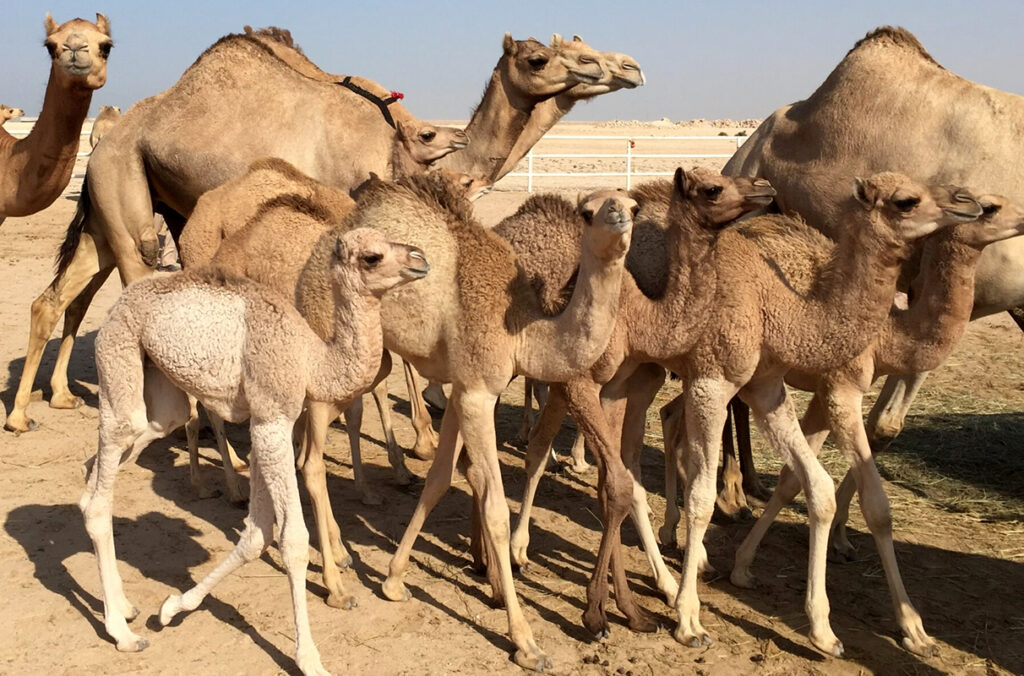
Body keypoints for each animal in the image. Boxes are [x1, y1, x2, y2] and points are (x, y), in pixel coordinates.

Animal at [5, 27, 608, 433]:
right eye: (539, 57)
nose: (601, 67)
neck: (397, 140)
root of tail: (107, 137)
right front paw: (413, 434)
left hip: (111, 209)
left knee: (63, 296)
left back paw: (43, 404)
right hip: (126, 195)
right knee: (134, 278)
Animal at [78, 227, 428, 676]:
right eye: (372, 256)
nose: (420, 260)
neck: (310, 359)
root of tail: (119, 303)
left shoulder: (264, 423)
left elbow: (257, 535)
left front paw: (174, 607)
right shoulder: (272, 422)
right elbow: (291, 539)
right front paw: (310, 659)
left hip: (159, 396)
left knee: (112, 458)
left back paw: (124, 607)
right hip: (118, 354)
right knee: (100, 494)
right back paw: (122, 634)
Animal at [496, 169, 775, 636]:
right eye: (712, 188)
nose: (765, 187)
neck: (641, 318)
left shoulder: (620, 385)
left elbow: (615, 485)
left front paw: (628, 606)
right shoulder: (582, 383)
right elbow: (617, 482)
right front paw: (597, 611)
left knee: (541, 446)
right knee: (530, 447)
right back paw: (513, 555)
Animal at [647, 174, 980, 655]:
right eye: (906, 200)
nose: (969, 202)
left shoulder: (765, 384)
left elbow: (813, 484)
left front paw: (824, 629)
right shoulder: (724, 382)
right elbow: (702, 495)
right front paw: (689, 619)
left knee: (660, 426)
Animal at [714, 195, 1024, 656]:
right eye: (990, 207)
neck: (888, 333)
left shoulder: (824, 394)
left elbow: (792, 481)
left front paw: (743, 566)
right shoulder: (841, 389)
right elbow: (877, 507)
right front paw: (913, 628)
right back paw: (727, 499)